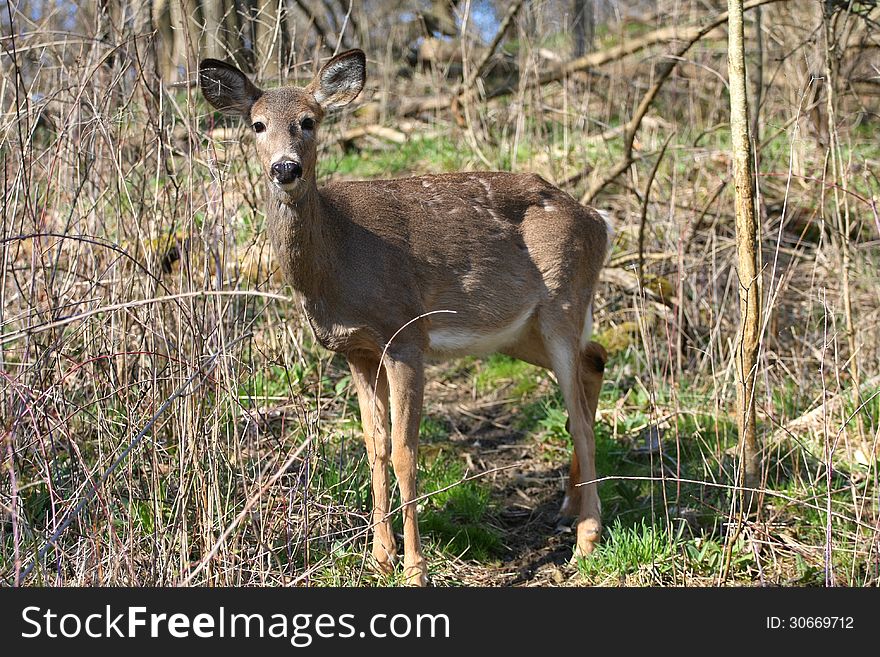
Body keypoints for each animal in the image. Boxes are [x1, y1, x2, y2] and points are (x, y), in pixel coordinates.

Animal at [199, 50, 612, 584]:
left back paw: (587, 537)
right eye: (257, 124)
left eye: (309, 121)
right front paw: (380, 555)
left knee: (579, 416)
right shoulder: (355, 350)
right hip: (521, 330)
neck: (340, 258)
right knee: (594, 360)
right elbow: (374, 448)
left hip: (563, 300)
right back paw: (567, 506)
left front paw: (415, 567)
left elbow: (404, 452)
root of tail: (600, 220)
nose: (285, 167)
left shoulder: (406, 335)